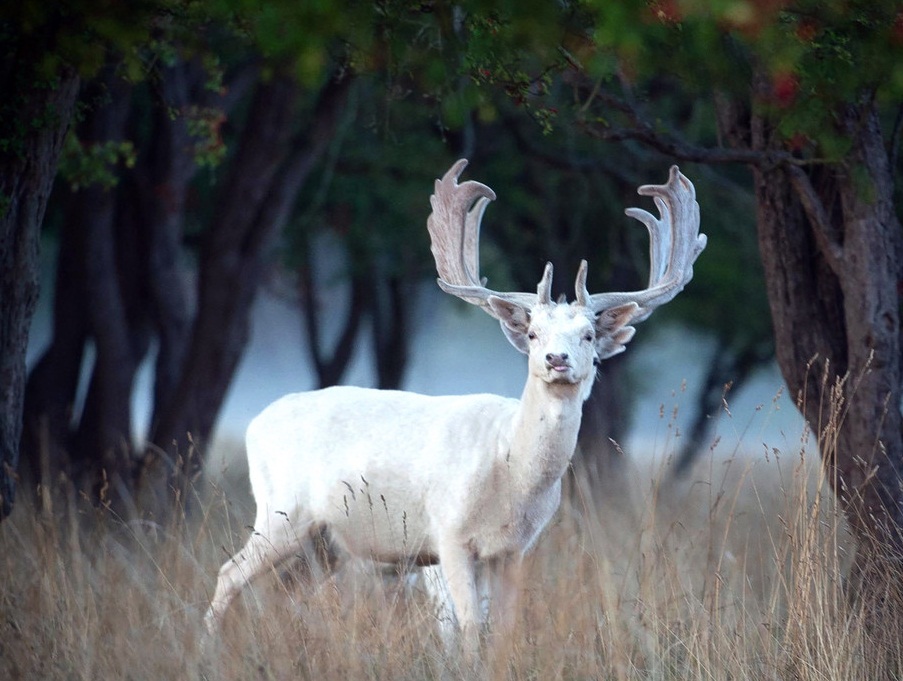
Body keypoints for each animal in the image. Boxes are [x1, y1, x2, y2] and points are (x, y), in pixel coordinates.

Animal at [205, 158, 708, 648]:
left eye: (587, 335)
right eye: (532, 334)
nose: (557, 359)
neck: (511, 473)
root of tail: (256, 422)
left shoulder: (513, 550)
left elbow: (503, 632)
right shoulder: (447, 534)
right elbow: (466, 629)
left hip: (325, 541)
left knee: (284, 590)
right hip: (281, 510)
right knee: (229, 573)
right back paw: (209, 647)